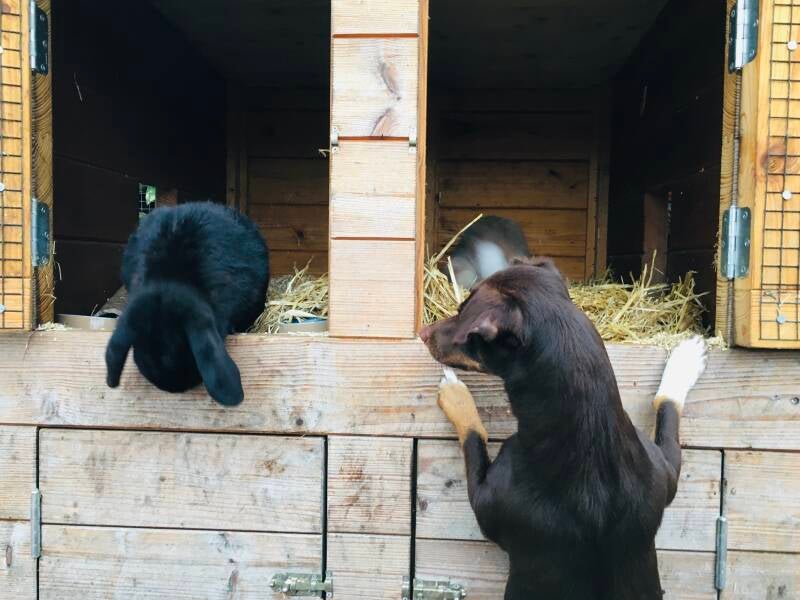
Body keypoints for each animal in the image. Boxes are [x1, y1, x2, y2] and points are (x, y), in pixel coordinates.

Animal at [419, 257, 707, 600]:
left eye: (464, 311)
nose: (422, 332)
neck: (590, 430)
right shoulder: (666, 471)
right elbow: (668, 408)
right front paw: (685, 359)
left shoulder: (483, 500)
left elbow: (473, 434)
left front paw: (456, 394)